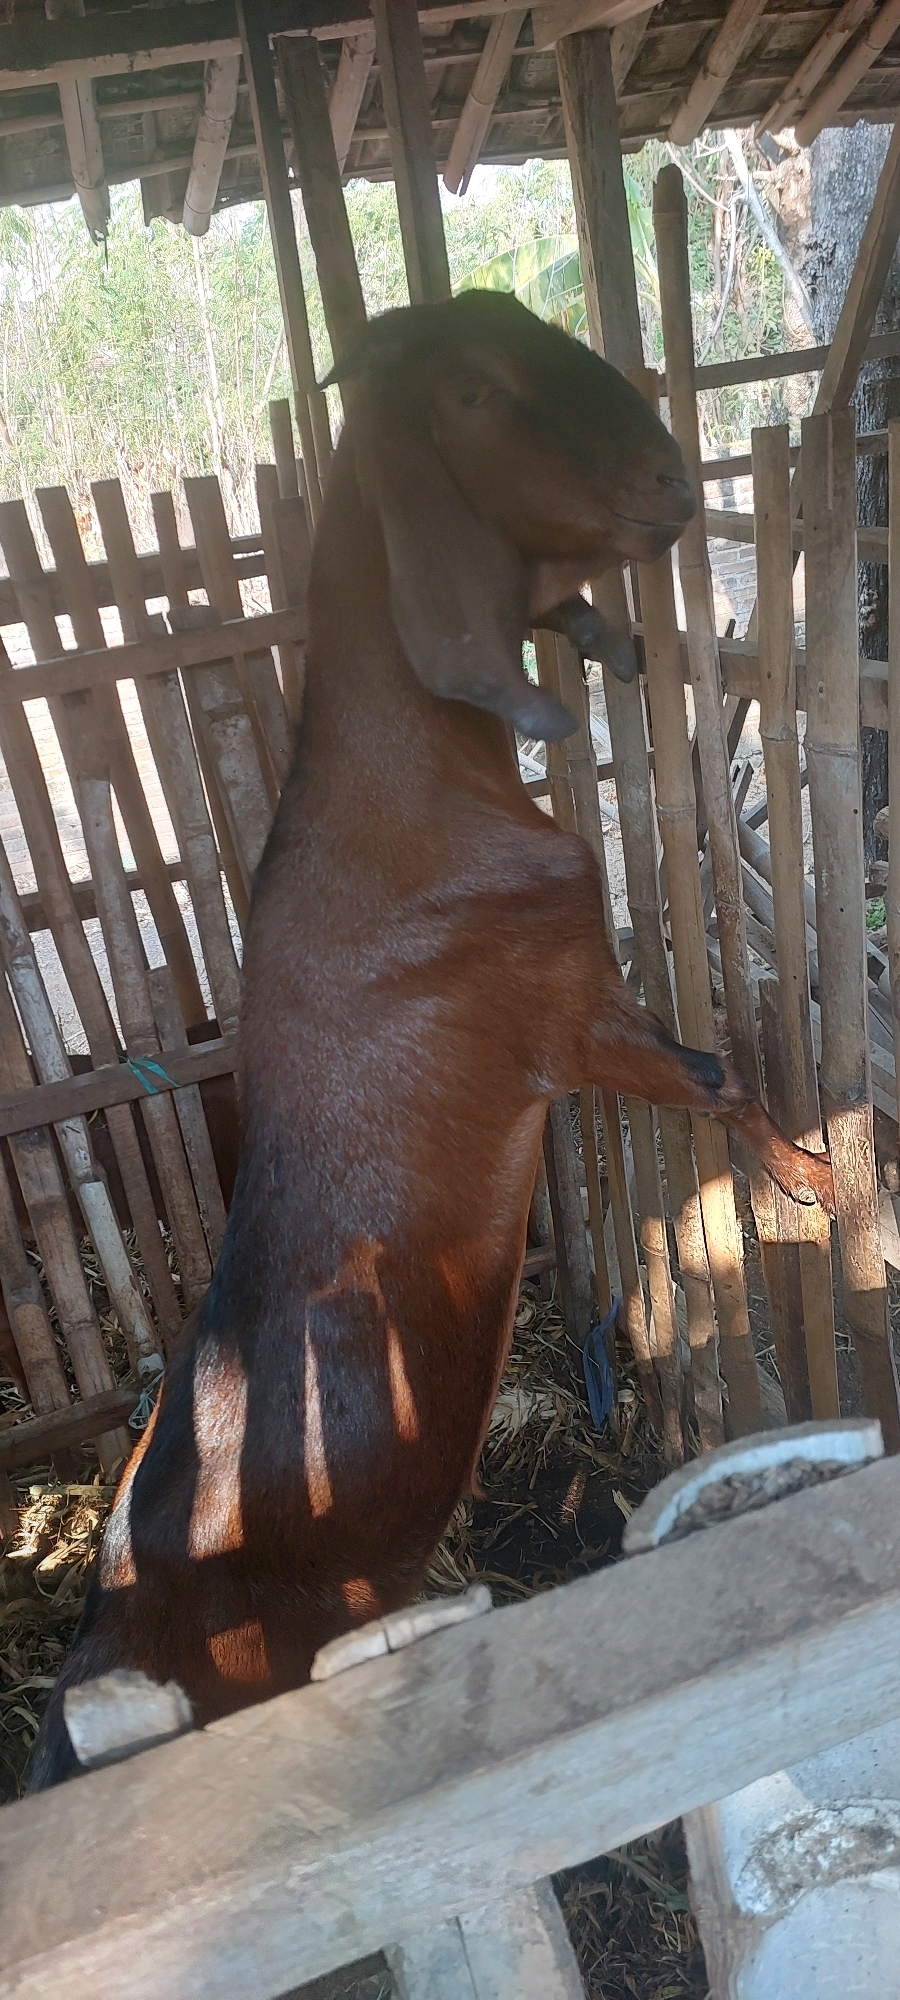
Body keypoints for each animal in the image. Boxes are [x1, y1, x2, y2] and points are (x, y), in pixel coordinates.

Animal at [28, 293, 833, 1789]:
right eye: (469, 390)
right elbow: (716, 1079)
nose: (671, 481)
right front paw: (815, 1179)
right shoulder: (567, 1019)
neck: (414, 800)